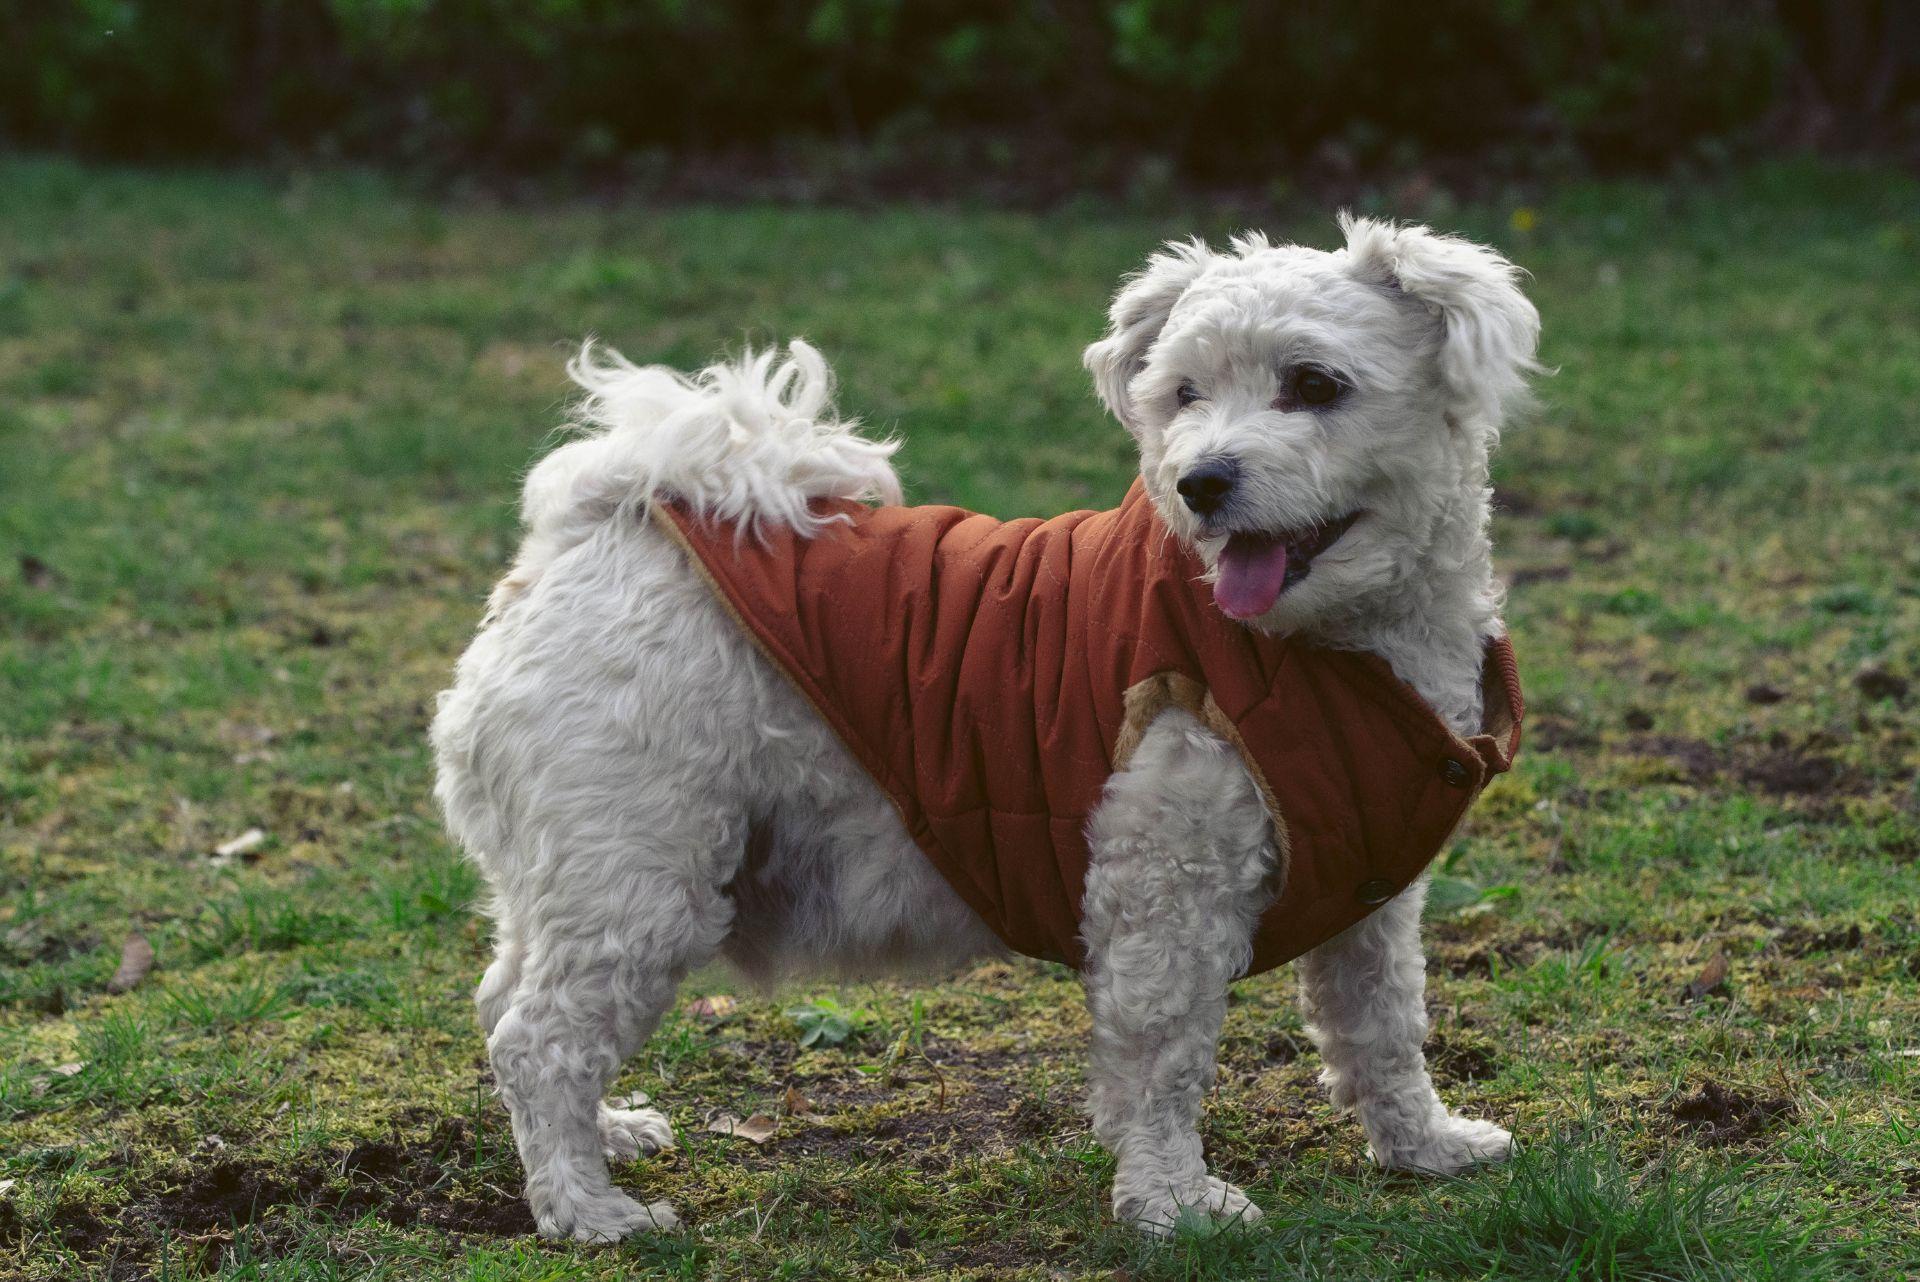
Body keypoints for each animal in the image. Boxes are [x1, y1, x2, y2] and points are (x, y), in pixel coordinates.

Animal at [435, 214, 1543, 1235]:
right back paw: (587, 1209)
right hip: (638, 871)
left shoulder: (1372, 893)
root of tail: (586, 538)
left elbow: (1384, 1027)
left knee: (506, 1002)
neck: (1323, 650)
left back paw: (605, 1134)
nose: (1201, 482)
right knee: (538, 1039)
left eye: (1316, 385)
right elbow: (1164, 1055)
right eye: (1184, 395)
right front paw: (1175, 1203)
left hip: (565, 875)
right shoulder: (1169, 889)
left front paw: (1425, 1147)